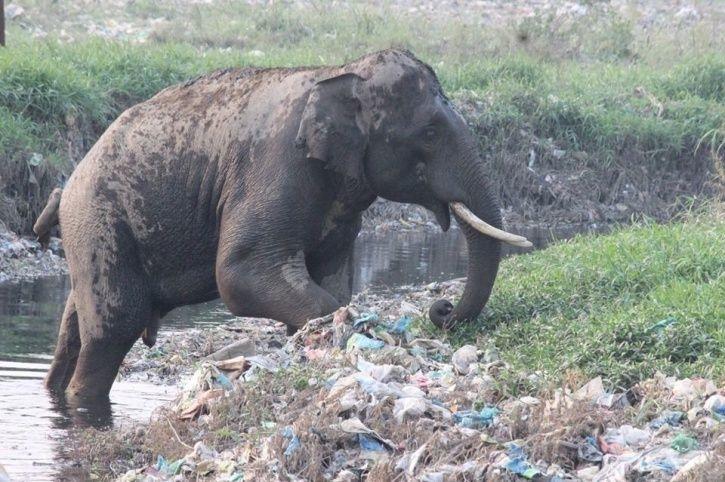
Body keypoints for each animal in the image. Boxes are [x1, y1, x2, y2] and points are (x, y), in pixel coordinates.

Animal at [42, 49, 528, 400]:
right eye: (429, 133)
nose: (440, 309)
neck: (339, 71)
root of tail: (68, 184)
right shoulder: (276, 167)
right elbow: (241, 273)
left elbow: (331, 281)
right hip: (101, 222)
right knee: (114, 325)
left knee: (74, 325)